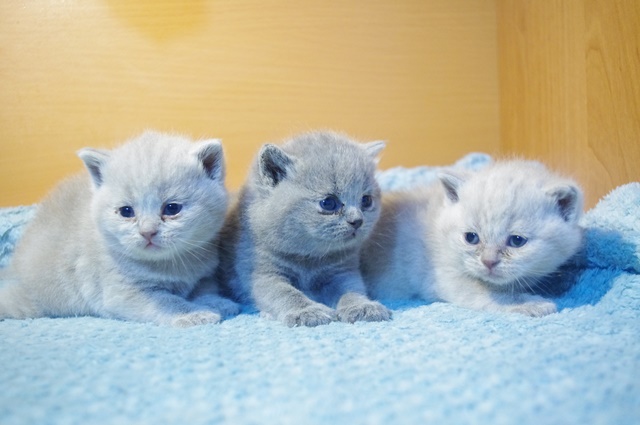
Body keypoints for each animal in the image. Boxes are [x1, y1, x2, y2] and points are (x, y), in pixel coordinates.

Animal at [0, 131, 239, 327]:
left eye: (171, 208)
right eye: (126, 211)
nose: (147, 232)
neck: (171, 265)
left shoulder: (205, 275)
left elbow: (206, 290)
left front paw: (219, 303)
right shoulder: (121, 290)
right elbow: (167, 300)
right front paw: (195, 314)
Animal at [217, 131, 392, 327]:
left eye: (366, 200)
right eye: (329, 203)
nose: (357, 221)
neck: (308, 259)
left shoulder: (343, 271)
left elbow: (352, 290)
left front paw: (362, 306)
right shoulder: (262, 274)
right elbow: (286, 293)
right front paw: (307, 311)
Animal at [362, 159, 584, 317]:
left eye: (517, 241)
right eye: (471, 238)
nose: (489, 262)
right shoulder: (444, 275)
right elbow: (491, 294)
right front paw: (528, 303)